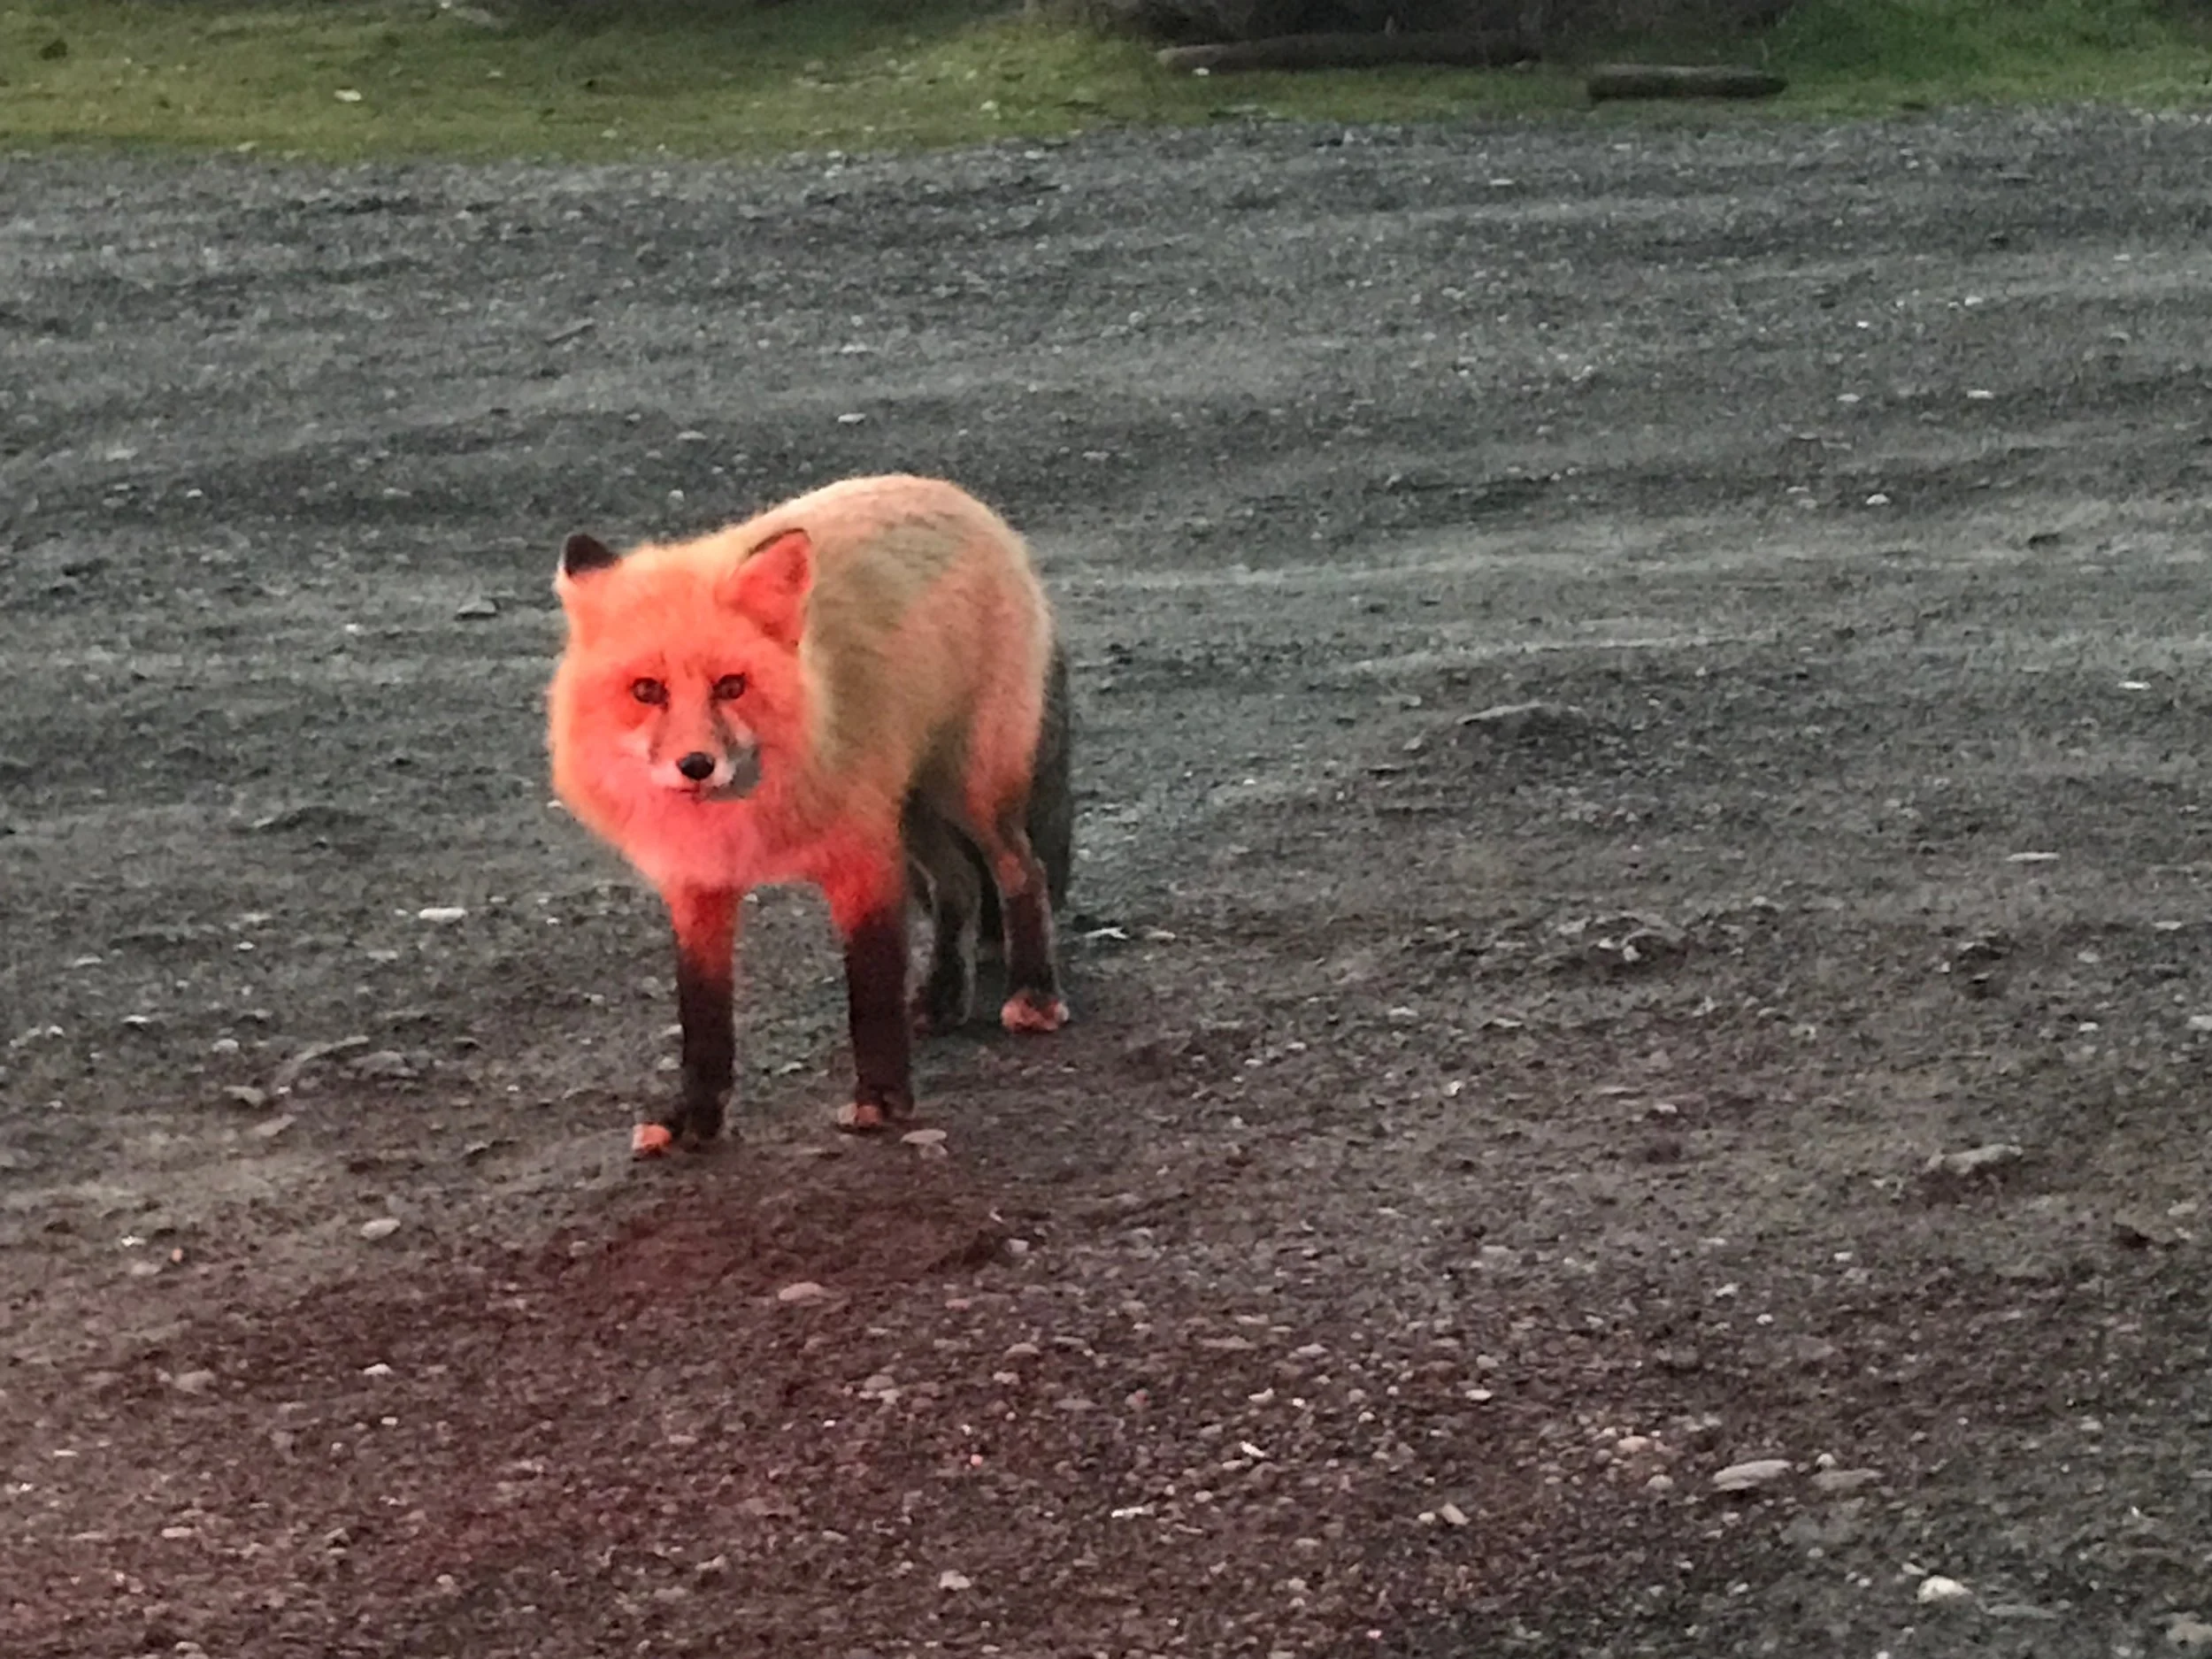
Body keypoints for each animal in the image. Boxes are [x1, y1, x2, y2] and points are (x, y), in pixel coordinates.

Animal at [545, 474, 1074, 1158]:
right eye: (646, 691)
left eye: (731, 686)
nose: (696, 765)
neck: (745, 817)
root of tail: (953, 492)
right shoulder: (697, 886)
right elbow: (702, 1016)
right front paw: (696, 1117)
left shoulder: (862, 861)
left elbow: (870, 991)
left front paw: (881, 1099)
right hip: (911, 808)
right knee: (957, 883)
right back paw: (940, 997)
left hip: (968, 789)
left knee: (1019, 871)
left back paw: (1034, 991)